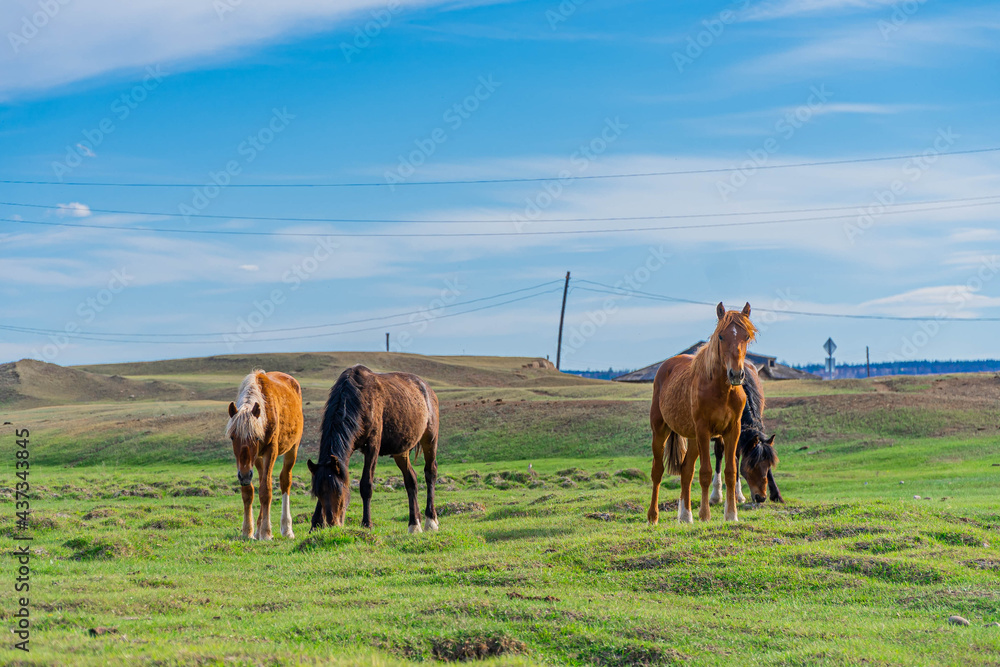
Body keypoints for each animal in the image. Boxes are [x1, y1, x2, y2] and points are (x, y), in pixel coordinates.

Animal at [225, 370, 304, 540]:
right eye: (233, 437)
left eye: (256, 437)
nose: (244, 475)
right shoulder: (250, 461)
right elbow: (249, 491)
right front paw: (248, 531)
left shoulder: (270, 451)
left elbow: (266, 490)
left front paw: (267, 532)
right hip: (258, 459)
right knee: (262, 480)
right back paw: (258, 530)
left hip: (292, 448)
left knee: (285, 480)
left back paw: (286, 529)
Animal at [307, 364, 440, 534]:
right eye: (317, 493)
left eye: (338, 491)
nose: (332, 523)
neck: (358, 398)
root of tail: (427, 388)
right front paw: (315, 525)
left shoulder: (372, 447)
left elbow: (366, 485)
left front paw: (366, 523)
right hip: (401, 450)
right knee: (411, 480)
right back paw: (414, 524)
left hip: (430, 439)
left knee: (430, 473)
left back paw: (431, 520)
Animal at [647, 302, 756, 524]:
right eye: (721, 336)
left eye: (746, 336)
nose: (736, 374)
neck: (721, 390)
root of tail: (666, 365)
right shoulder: (704, 430)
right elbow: (705, 472)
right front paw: (705, 515)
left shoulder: (732, 431)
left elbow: (731, 471)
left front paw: (731, 514)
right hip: (661, 431)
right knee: (657, 471)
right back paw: (653, 517)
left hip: (692, 438)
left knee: (686, 471)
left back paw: (685, 516)